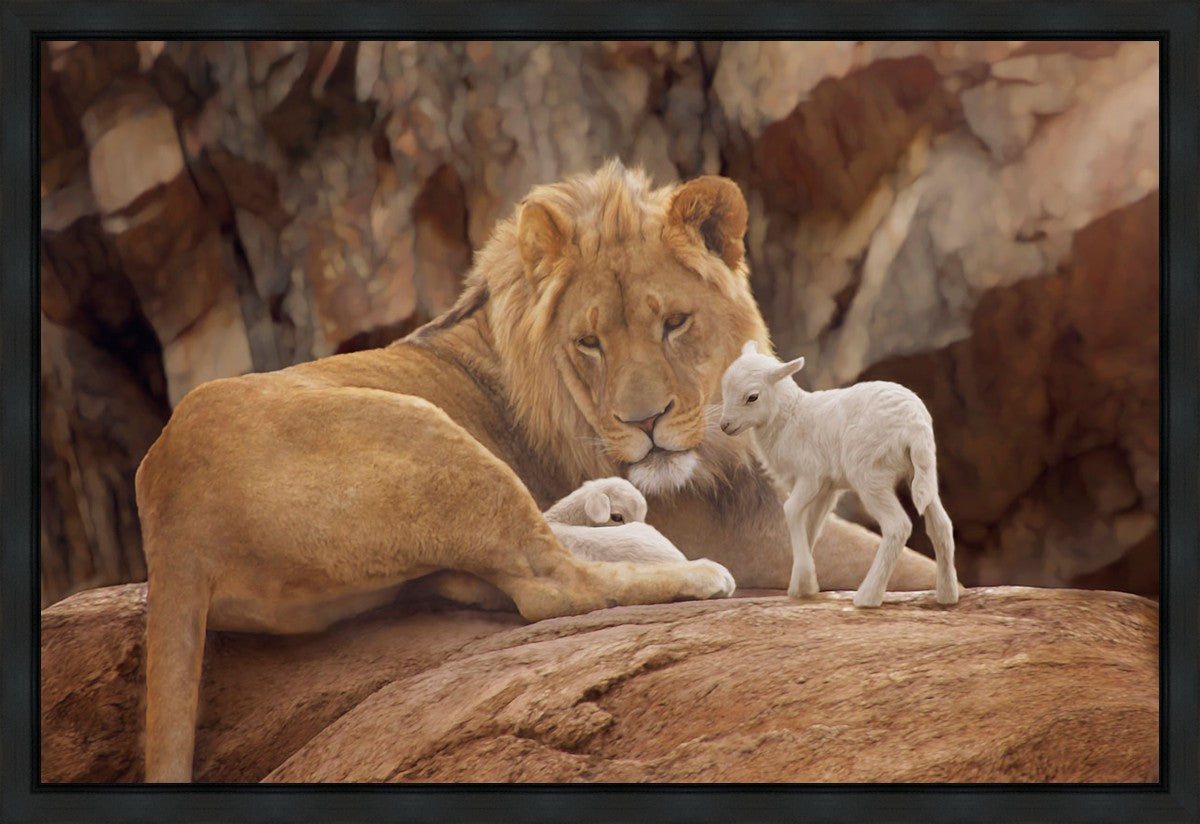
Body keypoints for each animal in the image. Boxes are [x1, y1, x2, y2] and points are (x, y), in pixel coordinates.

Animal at [718, 341, 958, 608]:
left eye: (752, 397)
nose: (724, 425)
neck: (790, 417)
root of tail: (914, 425)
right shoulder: (827, 488)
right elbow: (811, 525)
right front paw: (803, 585)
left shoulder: (810, 476)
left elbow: (791, 510)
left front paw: (804, 580)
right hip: (922, 471)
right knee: (941, 525)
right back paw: (947, 595)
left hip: (870, 474)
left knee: (898, 526)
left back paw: (867, 596)